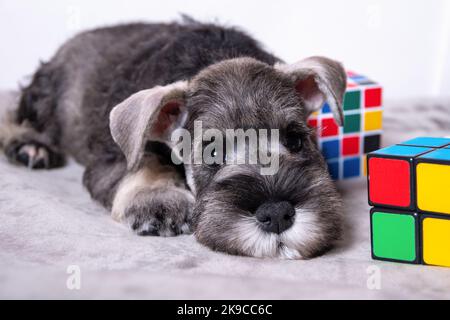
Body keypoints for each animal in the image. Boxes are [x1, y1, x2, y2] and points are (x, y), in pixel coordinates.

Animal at [1, 19, 346, 260]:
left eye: (295, 141)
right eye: (212, 152)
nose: (276, 214)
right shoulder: (111, 159)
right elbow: (146, 161)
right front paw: (159, 199)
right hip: (44, 97)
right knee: (15, 111)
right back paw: (30, 146)